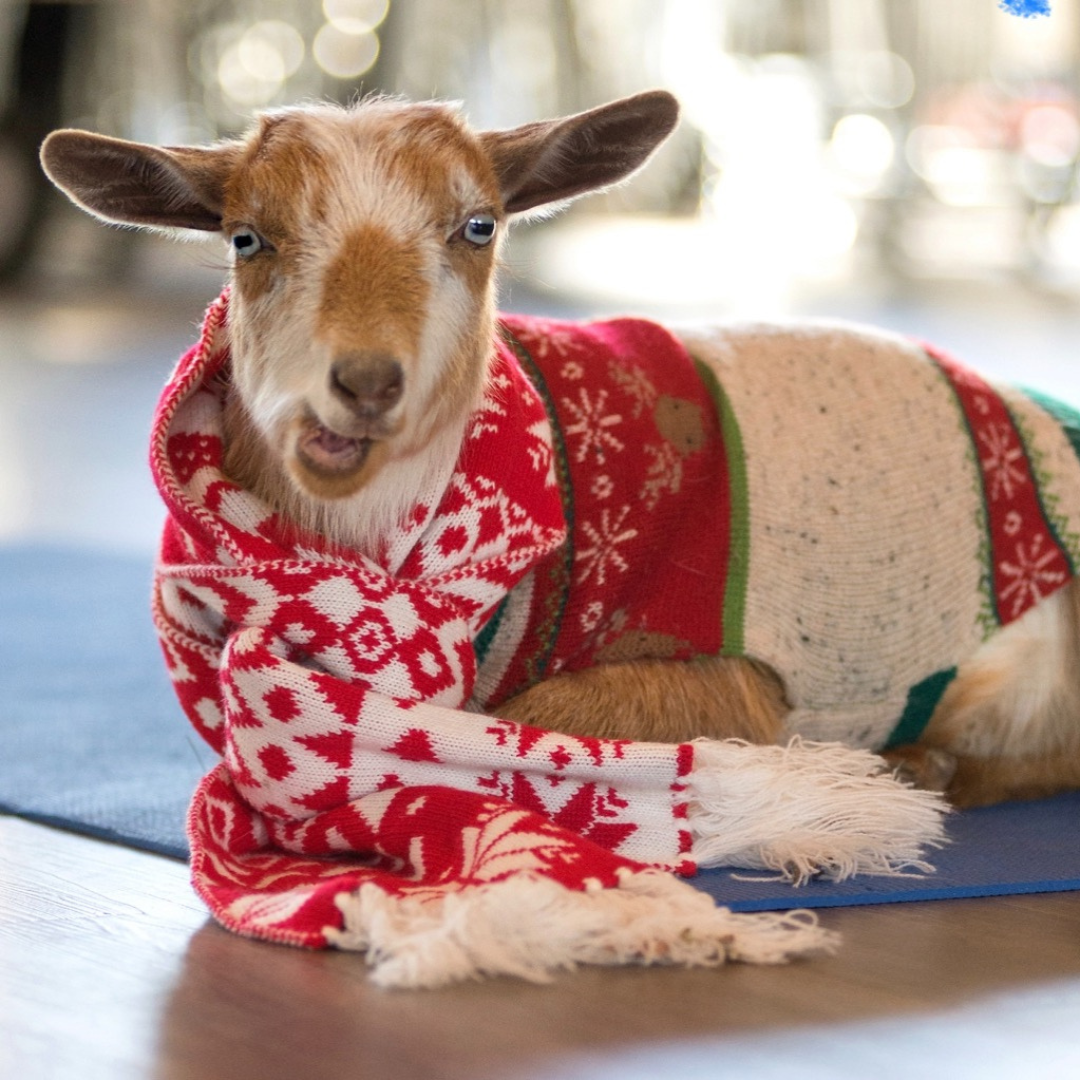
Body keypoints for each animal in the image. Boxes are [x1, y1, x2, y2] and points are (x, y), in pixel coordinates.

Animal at [40, 90, 1080, 809]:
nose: (367, 382)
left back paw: (919, 764)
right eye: (247, 238)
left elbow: (508, 722)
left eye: (479, 225)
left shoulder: (731, 676)